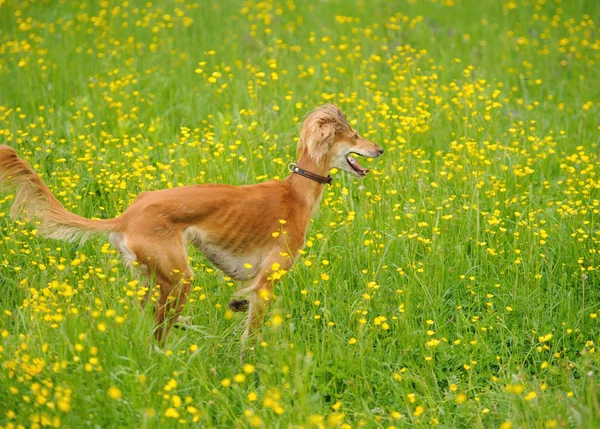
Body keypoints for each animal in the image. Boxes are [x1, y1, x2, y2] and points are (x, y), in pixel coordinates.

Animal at [0, 104, 384, 352]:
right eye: (355, 135)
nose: (380, 149)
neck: (297, 192)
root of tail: (128, 215)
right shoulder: (265, 282)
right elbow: (250, 337)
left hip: (151, 280)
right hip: (178, 278)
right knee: (158, 335)